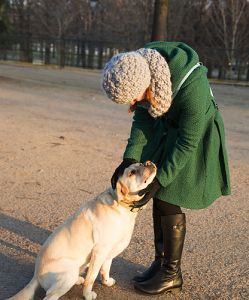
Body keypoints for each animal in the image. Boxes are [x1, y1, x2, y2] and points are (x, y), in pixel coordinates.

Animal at [9, 162, 157, 300]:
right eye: (132, 172)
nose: (148, 162)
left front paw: (106, 282)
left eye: (140, 163)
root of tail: (36, 275)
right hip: (69, 273)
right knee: (50, 296)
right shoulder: (99, 252)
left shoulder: (108, 253)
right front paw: (87, 294)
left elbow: (105, 269)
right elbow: (91, 278)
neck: (120, 206)